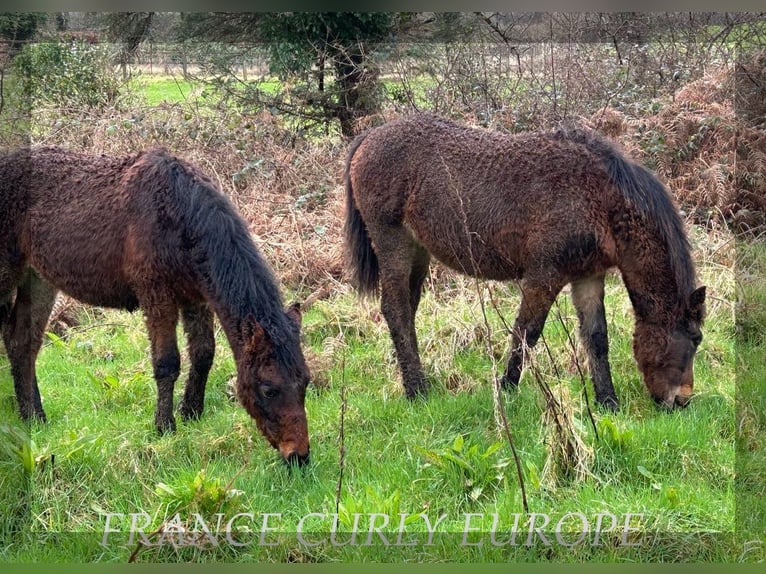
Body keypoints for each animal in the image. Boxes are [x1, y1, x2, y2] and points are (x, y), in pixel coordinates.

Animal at [0, 146, 312, 466]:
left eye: (305, 382)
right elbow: (167, 363)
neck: (180, 214)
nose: (299, 456)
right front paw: (164, 426)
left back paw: (34, 417)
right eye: (268, 389)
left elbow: (203, 354)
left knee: (22, 343)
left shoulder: (197, 299)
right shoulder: (157, 296)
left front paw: (191, 412)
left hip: (38, 279)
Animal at [346, 111, 708, 410]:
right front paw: (507, 388)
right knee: (395, 309)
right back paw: (417, 390)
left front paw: (608, 401)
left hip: (419, 252)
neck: (599, 197)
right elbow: (527, 332)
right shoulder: (544, 276)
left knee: (407, 310)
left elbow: (596, 338)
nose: (682, 401)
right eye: (695, 339)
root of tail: (369, 136)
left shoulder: (588, 277)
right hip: (393, 243)